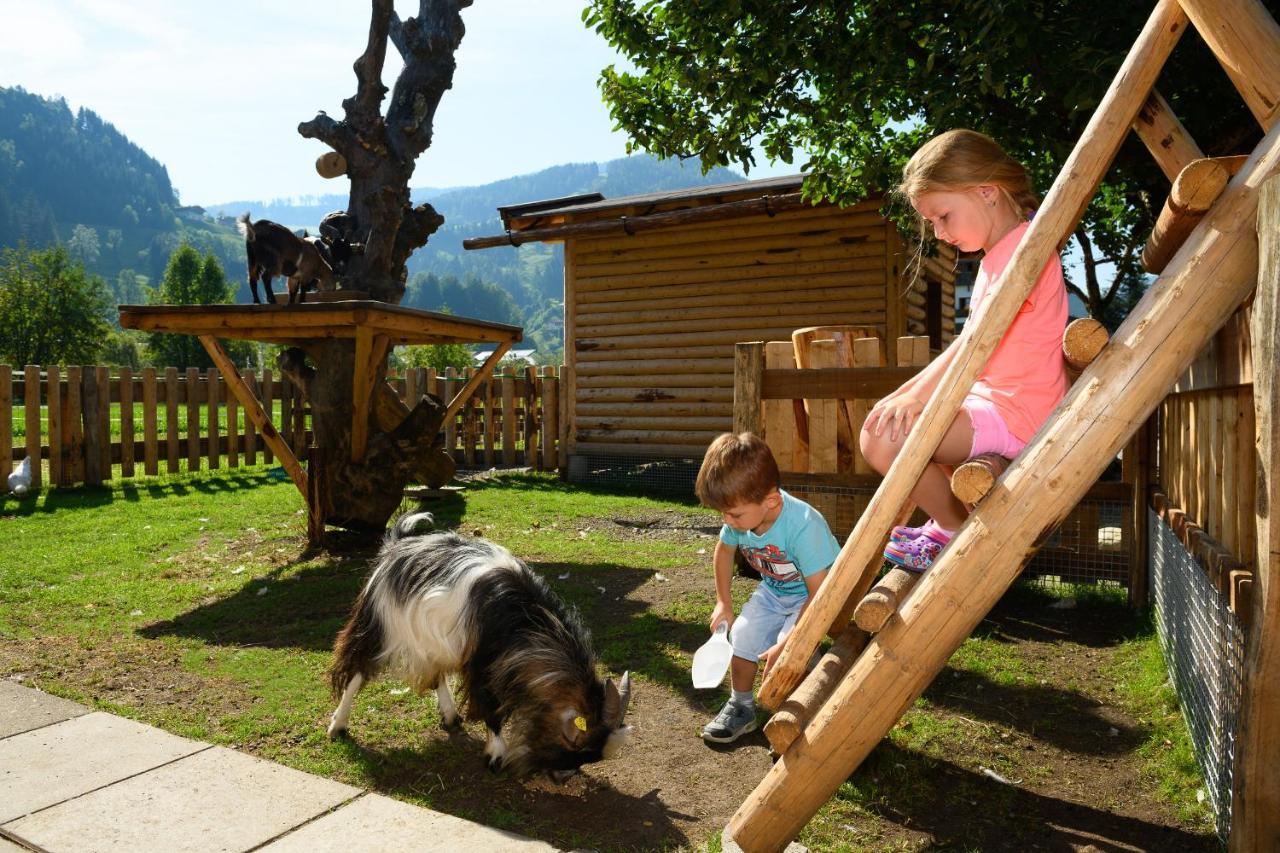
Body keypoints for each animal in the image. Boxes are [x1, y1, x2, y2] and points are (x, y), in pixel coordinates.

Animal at [327, 512, 632, 778]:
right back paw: (338, 725)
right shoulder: (484, 664)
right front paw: (495, 755)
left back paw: (450, 716)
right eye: (577, 744)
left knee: (437, 674)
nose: (563, 776)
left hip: (436, 640)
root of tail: (397, 545)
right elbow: (491, 706)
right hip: (380, 624)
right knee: (357, 669)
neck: (525, 620)